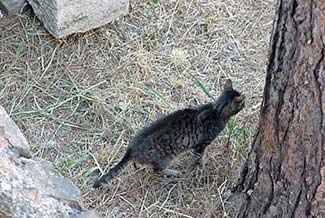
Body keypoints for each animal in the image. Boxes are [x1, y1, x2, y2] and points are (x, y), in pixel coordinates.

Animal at [93, 79, 243, 188]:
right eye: (243, 103)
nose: (246, 102)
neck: (216, 110)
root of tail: (131, 149)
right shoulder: (201, 145)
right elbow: (199, 157)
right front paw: (202, 165)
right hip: (166, 157)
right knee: (157, 169)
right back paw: (173, 173)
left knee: (136, 163)